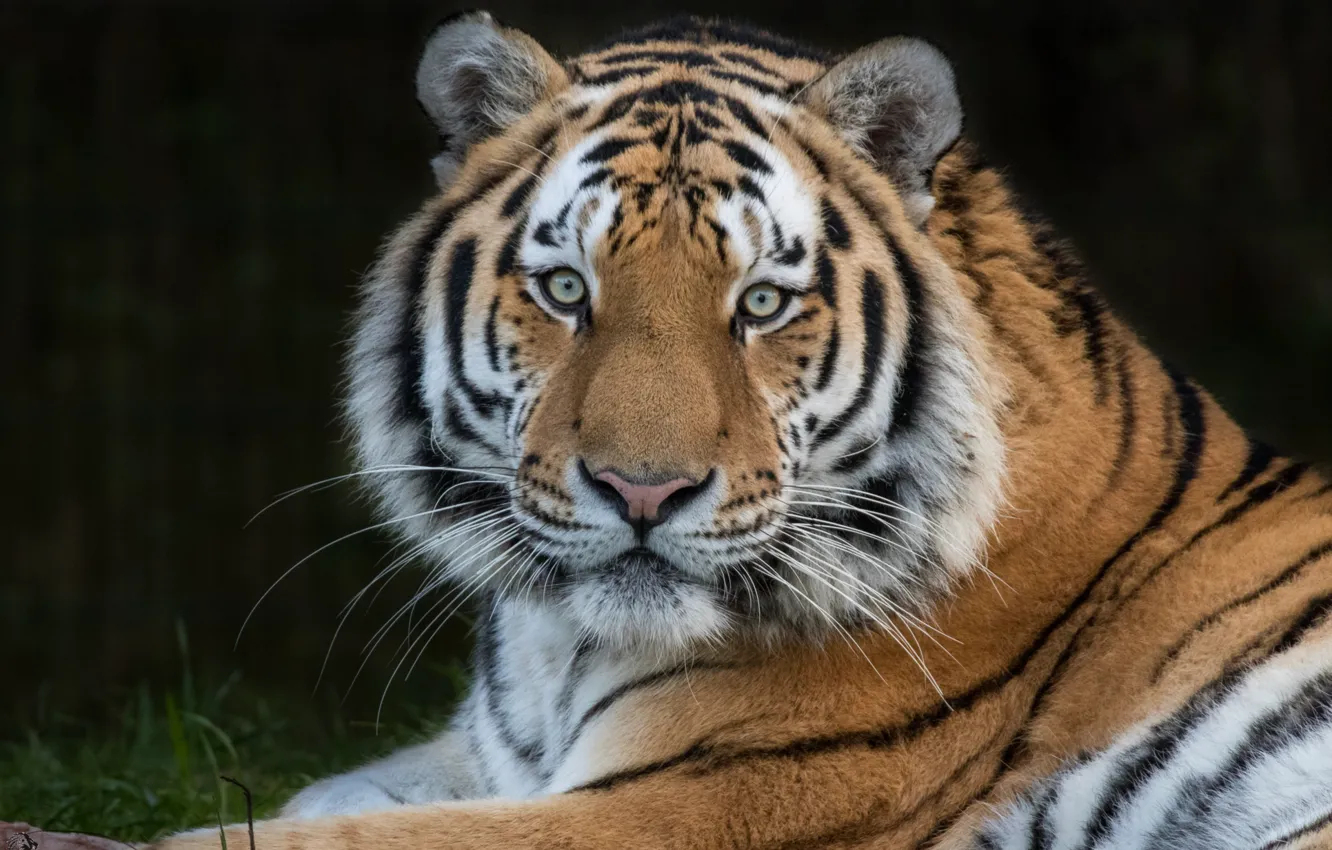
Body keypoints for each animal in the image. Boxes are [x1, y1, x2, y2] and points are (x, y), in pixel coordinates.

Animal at [153, 12, 1332, 850]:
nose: (641, 492)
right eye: (567, 289)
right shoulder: (485, 757)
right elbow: (309, 799)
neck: (557, 645)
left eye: (761, 303)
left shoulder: (691, 800)